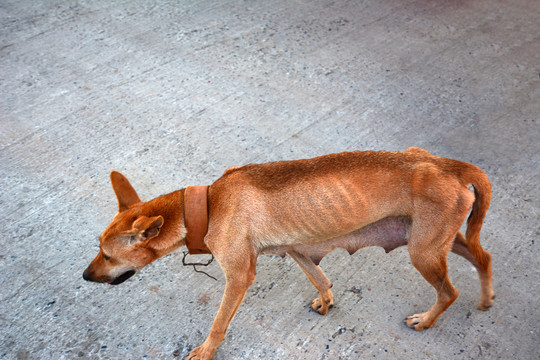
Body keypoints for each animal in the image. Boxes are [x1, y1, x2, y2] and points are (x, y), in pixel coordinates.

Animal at [83, 147, 494, 360]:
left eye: (107, 256)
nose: (85, 277)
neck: (209, 205)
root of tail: (449, 164)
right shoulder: (296, 247)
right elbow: (320, 278)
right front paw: (326, 300)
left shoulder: (239, 276)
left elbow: (218, 323)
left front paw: (205, 350)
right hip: (436, 239)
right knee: (483, 257)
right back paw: (487, 298)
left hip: (423, 251)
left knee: (449, 292)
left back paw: (426, 320)